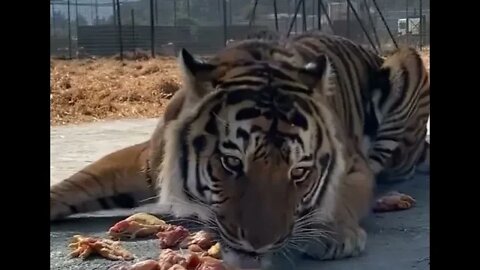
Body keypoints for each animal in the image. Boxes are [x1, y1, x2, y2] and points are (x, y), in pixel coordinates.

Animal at [50, 30, 430, 266]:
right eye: (231, 162)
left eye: (300, 172)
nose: (259, 244)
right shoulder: (147, 160)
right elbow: (76, 183)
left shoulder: (353, 165)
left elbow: (340, 195)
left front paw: (335, 235)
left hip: (407, 62)